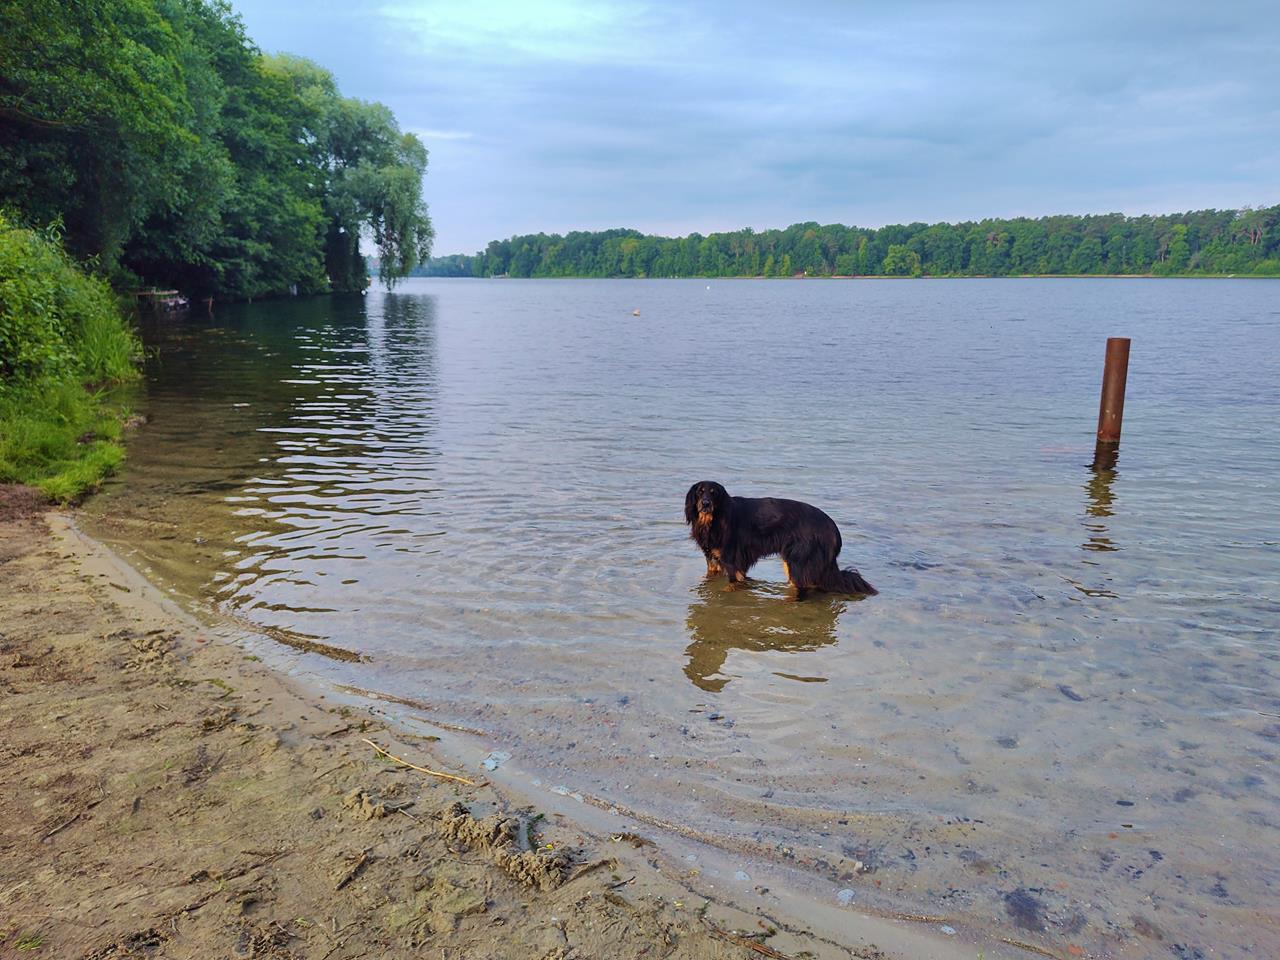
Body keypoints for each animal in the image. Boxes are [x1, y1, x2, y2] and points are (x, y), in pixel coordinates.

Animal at [684, 480, 876, 598]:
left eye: (714, 493)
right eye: (700, 492)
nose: (705, 504)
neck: (713, 520)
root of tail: (832, 527)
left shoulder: (732, 562)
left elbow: (730, 585)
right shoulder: (712, 561)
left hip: (798, 561)